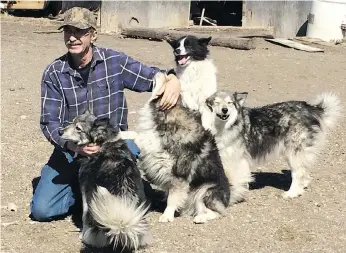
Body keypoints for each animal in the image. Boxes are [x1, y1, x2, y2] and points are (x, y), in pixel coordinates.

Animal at [59, 110, 151, 251]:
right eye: (72, 121)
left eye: (78, 128)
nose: (59, 132)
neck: (102, 143)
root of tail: (121, 229)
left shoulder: (86, 188)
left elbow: (84, 214)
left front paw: (82, 233)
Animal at [134, 80, 230, 223]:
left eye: (166, 81)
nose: (167, 74)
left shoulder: (178, 176)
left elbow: (172, 199)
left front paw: (167, 215)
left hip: (203, 191)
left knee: (216, 212)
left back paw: (200, 218)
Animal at [204, 90, 342, 203]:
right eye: (216, 102)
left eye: (230, 103)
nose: (224, 110)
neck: (225, 126)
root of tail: (309, 108)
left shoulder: (237, 160)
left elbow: (238, 180)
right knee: (304, 172)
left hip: (294, 152)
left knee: (298, 173)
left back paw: (292, 193)